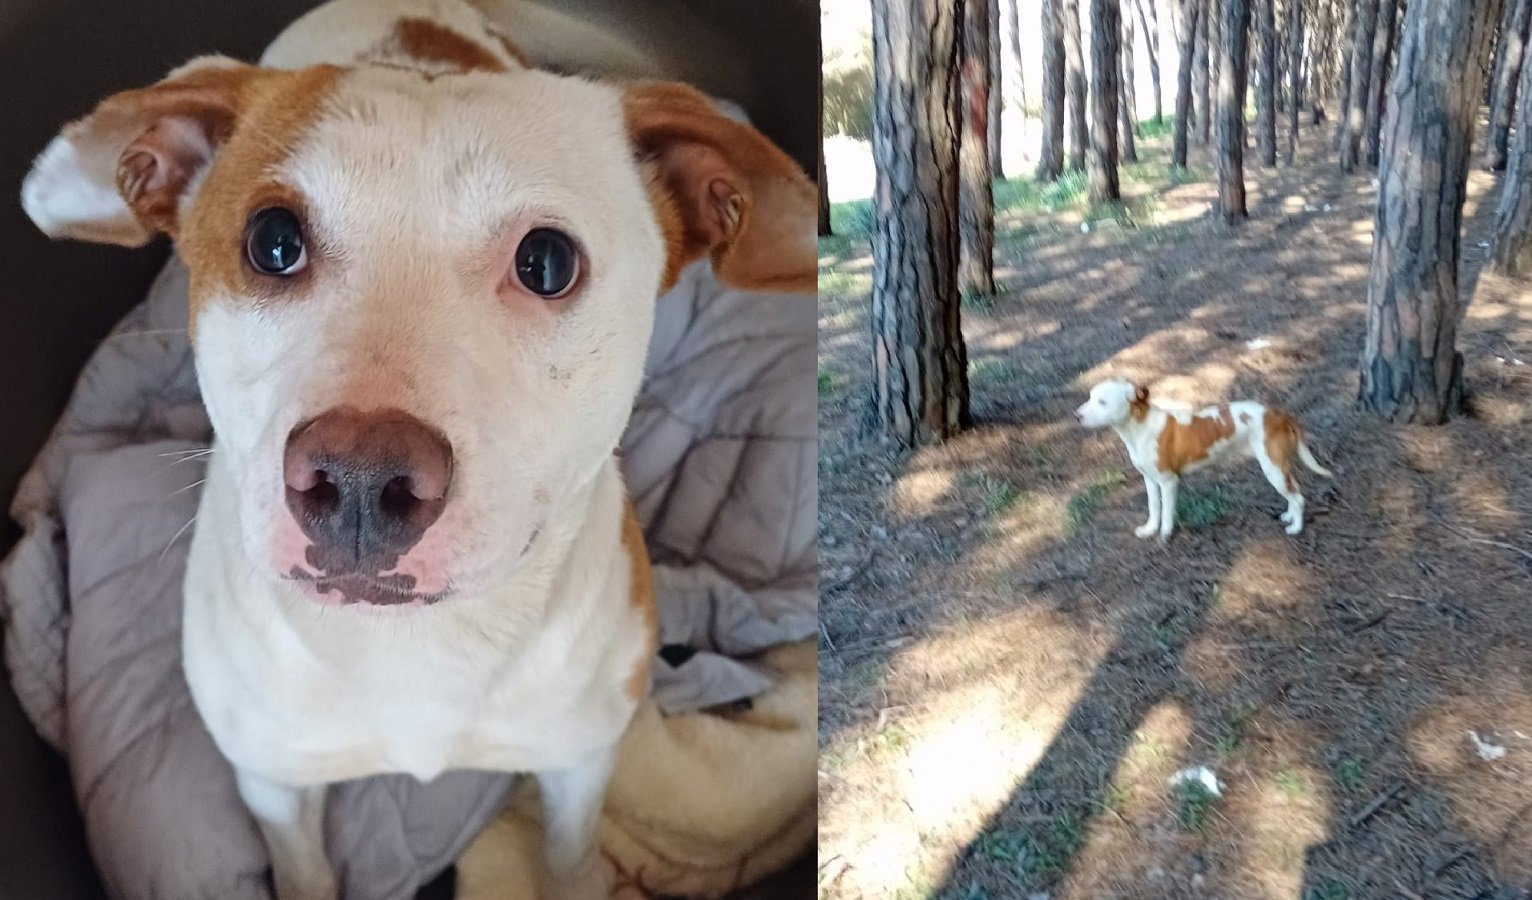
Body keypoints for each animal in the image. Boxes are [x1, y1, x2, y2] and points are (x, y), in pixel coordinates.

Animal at [18, 1, 821, 900]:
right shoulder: (275, 785)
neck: (413, 648)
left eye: (547, 261)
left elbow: (570, 854)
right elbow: (303, 867)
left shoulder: (579, 763)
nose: (361, 476)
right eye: (271, 240)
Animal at [1072, 377, 1335, 539]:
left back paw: (1296, 527)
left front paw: (1165, 534)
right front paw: (1149, 530)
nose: (1077, 416)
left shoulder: (1169, 482)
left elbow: (1167, 512)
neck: (1138, 427)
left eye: (1103, 402)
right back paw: (1289, 516)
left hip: (1274, 469)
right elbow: (1154, 507)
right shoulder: (1150, 480)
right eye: (1090, 397)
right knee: (1293, 493)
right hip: (1278, 468)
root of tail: (1279, 414)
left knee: (1298, 497)